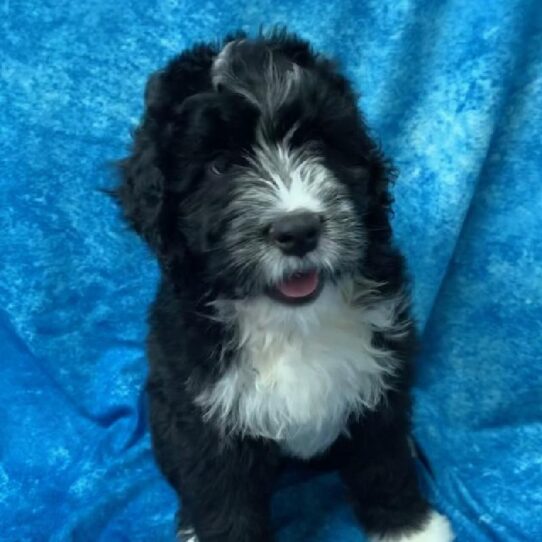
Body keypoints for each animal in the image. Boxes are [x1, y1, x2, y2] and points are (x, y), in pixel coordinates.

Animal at [115, 28, 454, 542]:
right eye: (218, 166)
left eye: (316, 142)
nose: (298, 230)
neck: (292, 320)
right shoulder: (205, 415)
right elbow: (223, 500)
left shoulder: (381, 377)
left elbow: (383, 460)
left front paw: (408, 526)